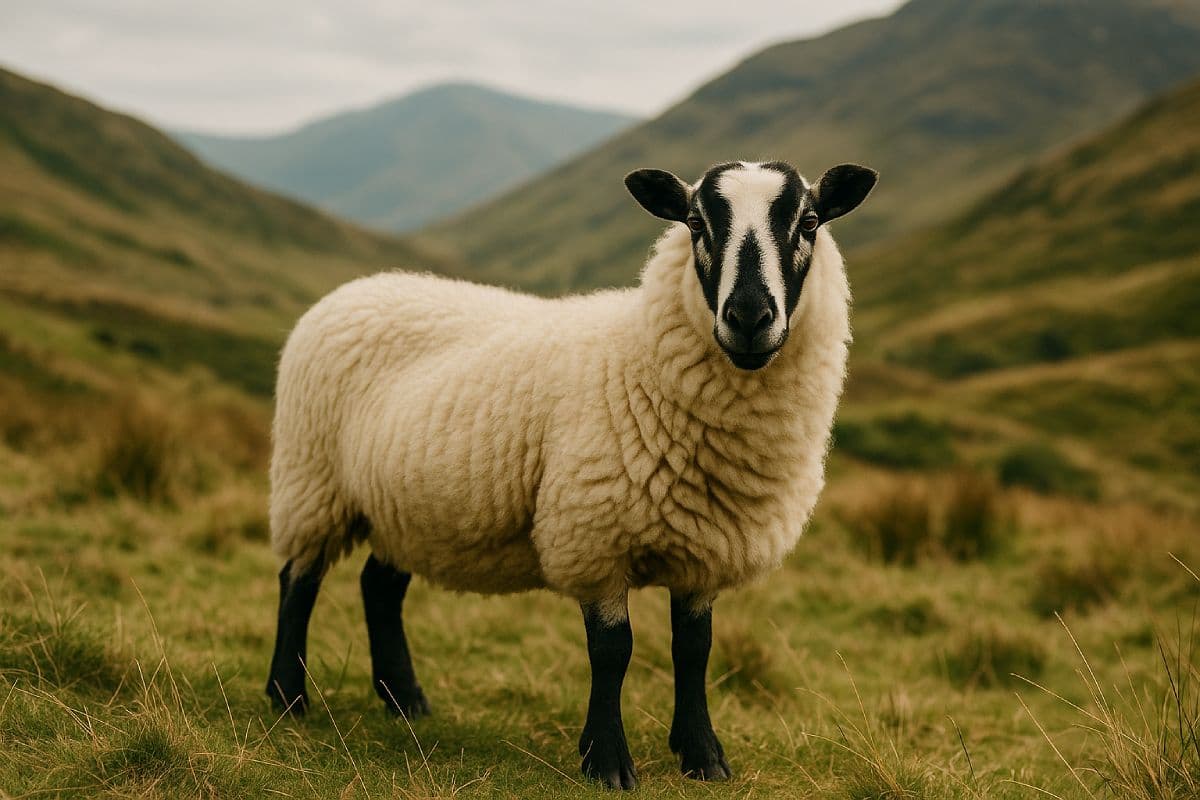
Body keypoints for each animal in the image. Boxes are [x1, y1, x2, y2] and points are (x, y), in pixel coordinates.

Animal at [265, 159, 878, 789]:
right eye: (695, 223)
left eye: (809, 222)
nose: (749, 317)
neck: (637, 359)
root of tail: (353, 288)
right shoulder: (593, 535)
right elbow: (613, 651)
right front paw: (606, 761)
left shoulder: (703, 548)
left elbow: (694, 649)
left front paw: (702, 756)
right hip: (311, 480)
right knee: (298, 581)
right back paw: (288, 696)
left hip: (406, 505)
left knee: (378, 587)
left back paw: (404, 699)